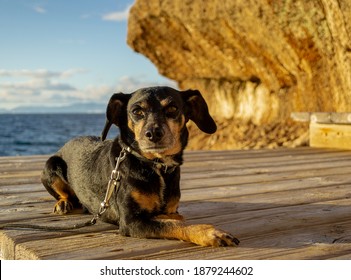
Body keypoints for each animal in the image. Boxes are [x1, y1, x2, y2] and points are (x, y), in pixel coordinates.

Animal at [40, 86, 239, 246]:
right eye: (136, 111)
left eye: (173, 108)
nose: (153, 133)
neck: (156, 166)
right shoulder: (130, 221)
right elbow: (172, 224)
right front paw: (209, 232)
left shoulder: (169, 209)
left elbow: (173, 217)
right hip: (51, 166)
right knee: (64, 193)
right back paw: (64, 203)